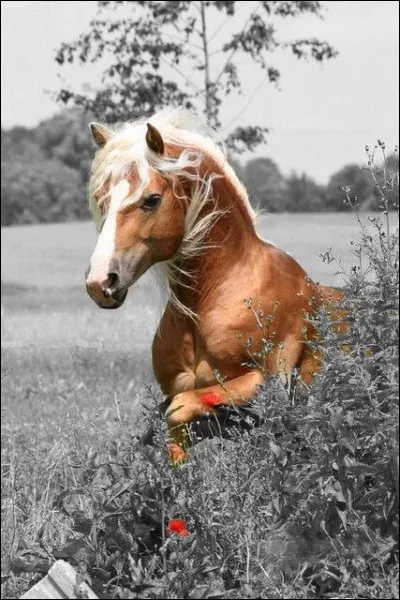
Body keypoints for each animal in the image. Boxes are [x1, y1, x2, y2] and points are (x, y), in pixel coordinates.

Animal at [83, 110, 340, 462]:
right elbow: (166, 431)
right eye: (101, 200)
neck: (214, 297)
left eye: (151, 200)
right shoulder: (184, 394)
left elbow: (178, 410)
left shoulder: (267, 383)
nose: (100, 282)